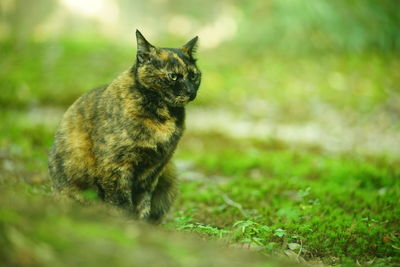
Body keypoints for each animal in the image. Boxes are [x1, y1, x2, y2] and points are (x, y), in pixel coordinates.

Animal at [48, 30, 202, 224]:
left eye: (194, 76)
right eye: (173, 76)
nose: (191, 92)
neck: (163, 115)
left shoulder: (154, 168)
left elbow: (143, 202)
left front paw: (141, 223)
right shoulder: (116, 165)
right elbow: (121, 201)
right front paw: (126, 223)